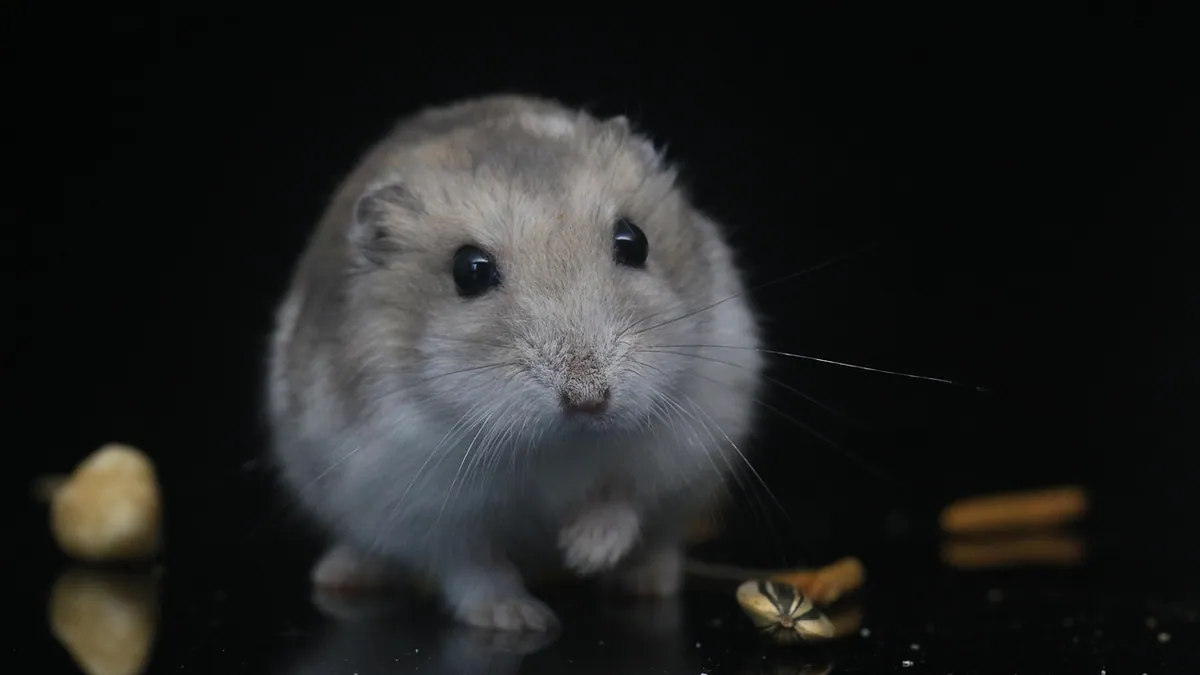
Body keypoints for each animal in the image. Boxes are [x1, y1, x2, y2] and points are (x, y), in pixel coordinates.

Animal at [265, 94, 765, 631]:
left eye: (634, 241)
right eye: (470, 271)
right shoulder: (423, 503)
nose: (589, 401)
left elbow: (623, 497)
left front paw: (582, 553)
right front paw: (523, 620)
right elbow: (474, 567)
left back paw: (643, 583)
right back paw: (341, 575)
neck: (560, 443)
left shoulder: (682, 442)